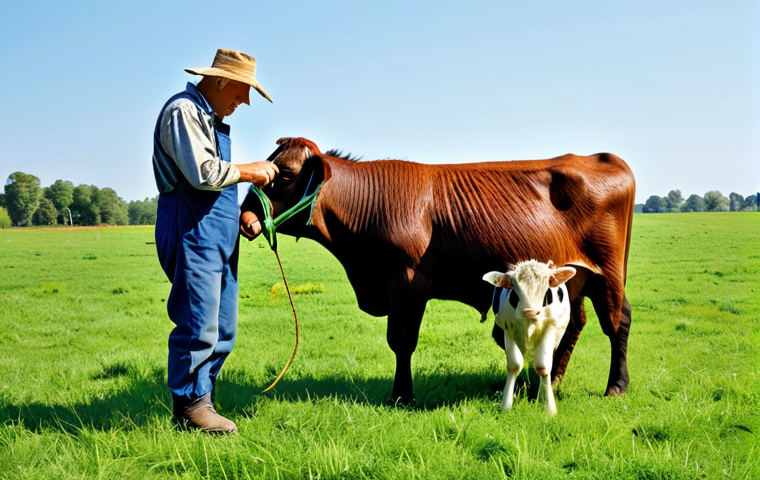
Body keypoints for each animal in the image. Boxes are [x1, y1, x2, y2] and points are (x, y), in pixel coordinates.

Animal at [483, 260, 576, 415]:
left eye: (546, 290)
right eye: (515, 290)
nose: (529, 311)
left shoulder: (550, 327)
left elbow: (543, 367)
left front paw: (549, 409)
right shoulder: (508, 328)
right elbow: (514, 365)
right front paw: (506, 404)